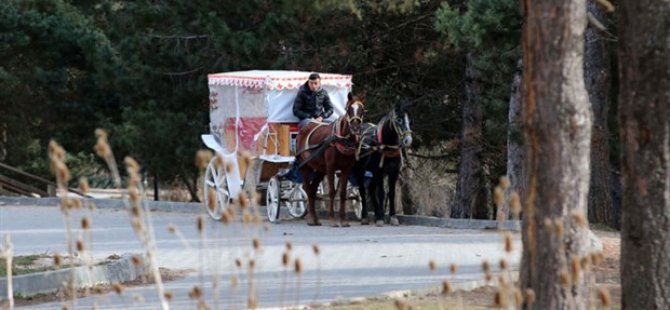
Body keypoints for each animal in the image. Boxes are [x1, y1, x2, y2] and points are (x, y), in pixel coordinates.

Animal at [296, 93, 364, 226]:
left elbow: (342, 193)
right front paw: (332, 218)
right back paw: (311, 218)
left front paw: (343, 220)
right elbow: (332, 191)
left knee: (312, 189)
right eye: (349, 109)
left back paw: (315, 218)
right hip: (305, 166)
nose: (355, 128)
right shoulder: (330, 167)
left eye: (362, 110)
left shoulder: (346, 168)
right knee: (308, 189)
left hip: (320, 170)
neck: (341, 139)